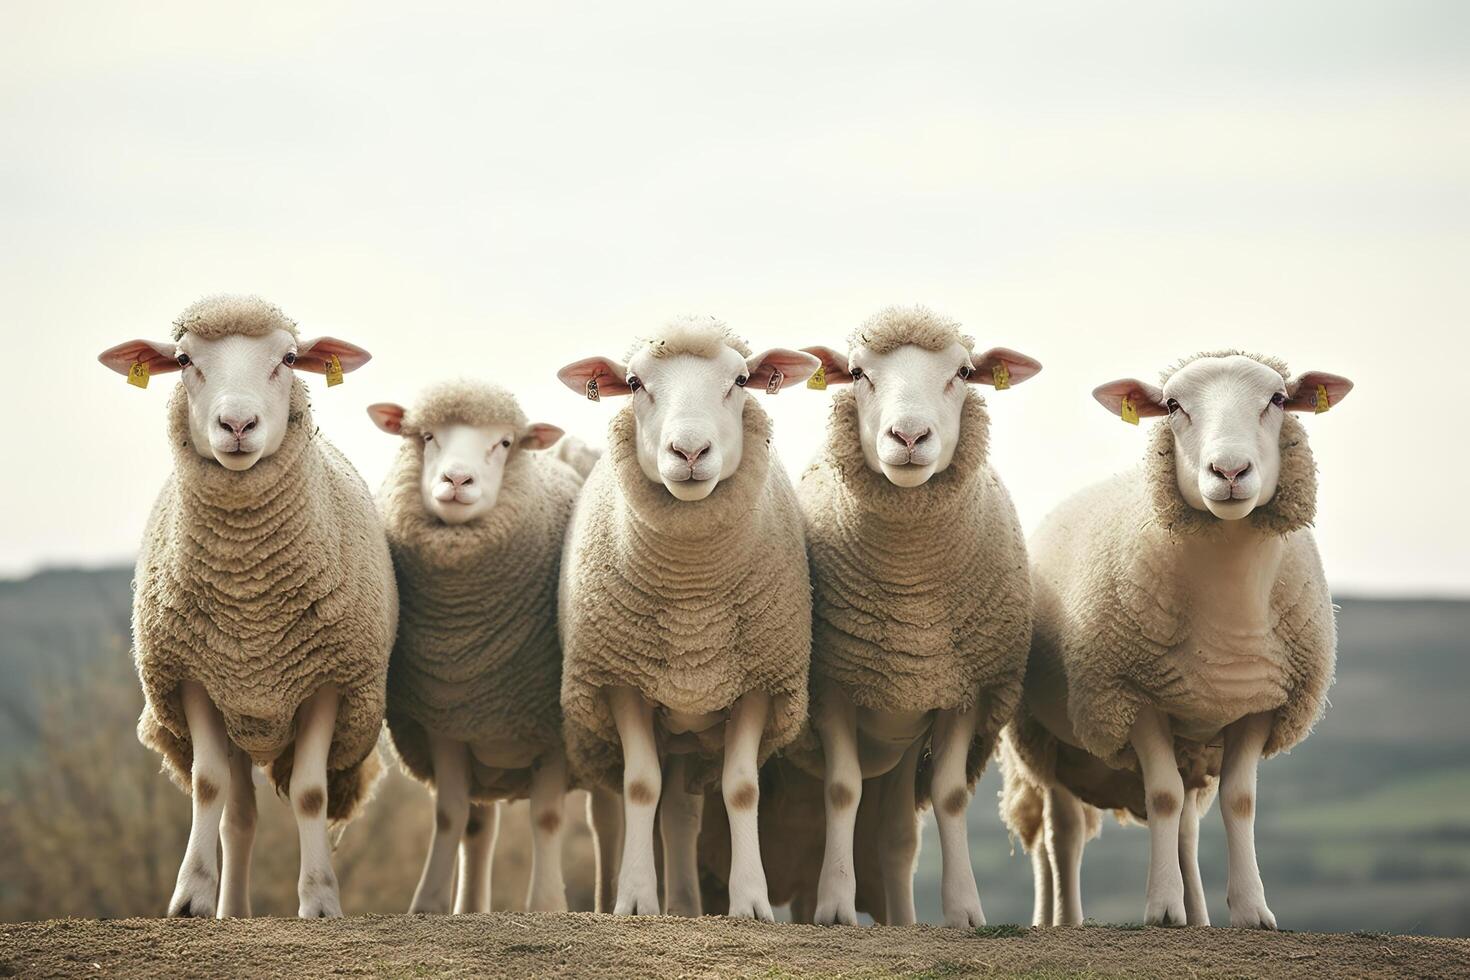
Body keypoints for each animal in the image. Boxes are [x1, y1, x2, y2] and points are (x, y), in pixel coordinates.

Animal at [97, 296, 396, 922]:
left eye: (289, 358)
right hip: (236, 714)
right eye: (183, 359)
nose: (236, 426)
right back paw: (230, 909)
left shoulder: (327, 680)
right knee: (238, 816)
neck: (250, 602)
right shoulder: (194, 677)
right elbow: (208, 786)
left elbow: (310, 792)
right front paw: (190, 898)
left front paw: (320, 901)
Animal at [370, 379, 599, 916]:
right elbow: (450, 815)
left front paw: (547, 906)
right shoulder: (449, 721)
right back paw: (470, 907)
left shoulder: (553, 730)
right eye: (427, 436)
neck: (468, 644)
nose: (457, 479)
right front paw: (428, 905)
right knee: (479, 825)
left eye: (505, 443)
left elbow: (547, 818)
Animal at [555, 318, 823, 922]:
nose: (691, 450)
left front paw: (751, 902)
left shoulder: (757, 682)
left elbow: (741, 789)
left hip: (689, 732)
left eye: (741, 380)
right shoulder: (621, 680)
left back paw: (683, 903)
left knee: (680, 811)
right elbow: (639, 787)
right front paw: (634, 900)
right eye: (633, 383)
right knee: (621, 808)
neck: (691, 603)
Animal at [793, 307, 1046, 928]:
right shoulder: (833, 685)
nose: (908, 438)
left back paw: (903, 921)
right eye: (858, 372)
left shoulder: (962, 690)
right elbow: (841, 790)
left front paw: (964, 910)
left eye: (964, 371)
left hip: (904, 746)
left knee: (896, 837)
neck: (911, 595)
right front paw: (834, 905)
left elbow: (951, 797)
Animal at [999, 351, 1352, 928]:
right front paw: (1162, 909)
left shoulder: (1259, 705)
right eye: (1171, 405)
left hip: (1189, 747)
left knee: (1185, 827)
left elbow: (1239, 802)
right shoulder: (1133, 697)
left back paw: (1199, 915)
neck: (1228, 613)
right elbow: (1161, 796)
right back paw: (1062, 918)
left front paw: (1251, 910)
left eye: (1278, 399)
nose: (1229, 472)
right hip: (1044, 737)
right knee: (1060, 835)